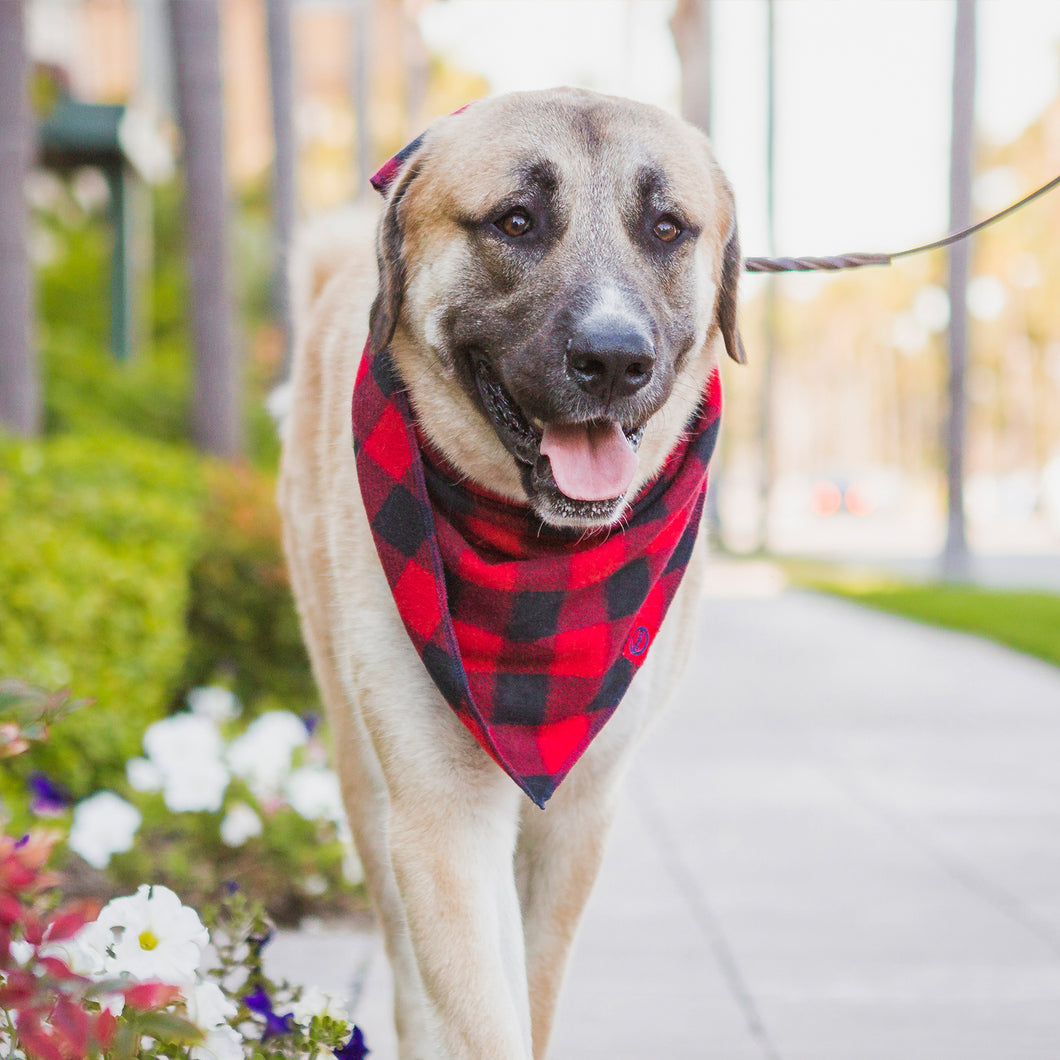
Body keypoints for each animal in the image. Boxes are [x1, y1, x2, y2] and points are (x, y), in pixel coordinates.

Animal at [281, 89, 746, 1060]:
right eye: (517, 220)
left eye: (668, 227)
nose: (614, 360)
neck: (541, 564)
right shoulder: (440, 813)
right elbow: (477, 1009)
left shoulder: (577, 813)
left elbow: (530, 992)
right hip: (360, 768)